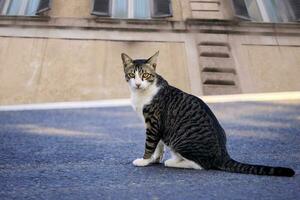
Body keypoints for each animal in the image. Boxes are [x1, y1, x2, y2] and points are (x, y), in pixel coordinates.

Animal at [121, 51, 296, 177]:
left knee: (201, 165)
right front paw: (154, 159)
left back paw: (174, 163)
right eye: (132, 75)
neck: (142, 93)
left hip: (182, 142)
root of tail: (223, 154)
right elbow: (159, 145)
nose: (138, 84)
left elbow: (150, 144)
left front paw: (144, 160)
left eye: (145, 75)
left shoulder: (153, 122)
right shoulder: (156, 126)